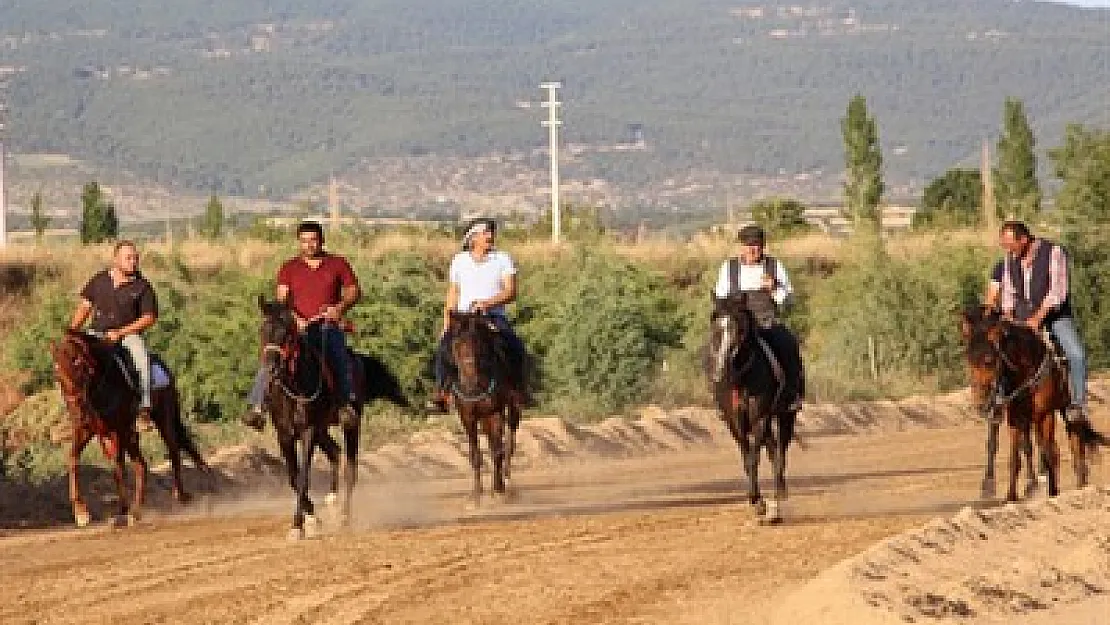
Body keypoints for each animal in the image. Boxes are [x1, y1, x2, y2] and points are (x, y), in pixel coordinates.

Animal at [47, 333, 208, 528]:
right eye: (57, 373)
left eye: (78, 364)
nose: (76, 409)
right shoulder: (86, 430)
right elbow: (72, 459)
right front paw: (81, 513)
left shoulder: (117, 430)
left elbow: (118, 468)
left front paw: (122, 512)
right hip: (131, 435)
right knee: (141, 465)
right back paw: (136, 512)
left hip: (163, 418)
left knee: (173, 452)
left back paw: (178, 496)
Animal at [446, 310, 523, 506]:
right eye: (456, 344)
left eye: (478, 343)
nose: (470, 380)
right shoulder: (468, 417)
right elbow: (475, 455)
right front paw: (476, 495)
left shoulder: (495, 412)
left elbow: (497, 451)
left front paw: (498, 490)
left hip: (513, 407)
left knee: (510, 442)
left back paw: (508, 482)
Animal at [705, 295, 803, 526]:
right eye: (715, 327)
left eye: (740, 328)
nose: (721, 370)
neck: (741, 379)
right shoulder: (735, 423)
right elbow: (746, 458)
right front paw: (756, 500)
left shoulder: (760, 418)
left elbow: (754, 457)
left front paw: (759, 502)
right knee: (773, 450)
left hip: (786, 415)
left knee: (781, 453)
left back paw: (778, 496)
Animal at [959, 308, 1105, 503]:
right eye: (968, 359)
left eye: (989, 360)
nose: (980, 403)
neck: (1027, 369)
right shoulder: (1015, 418)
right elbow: (1015, 456)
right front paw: (1011, 496)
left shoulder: (1045, 415)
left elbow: (1046, 452)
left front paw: (1050, 491)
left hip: (1067, 409)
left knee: (1074, 442)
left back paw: (1080, 486)